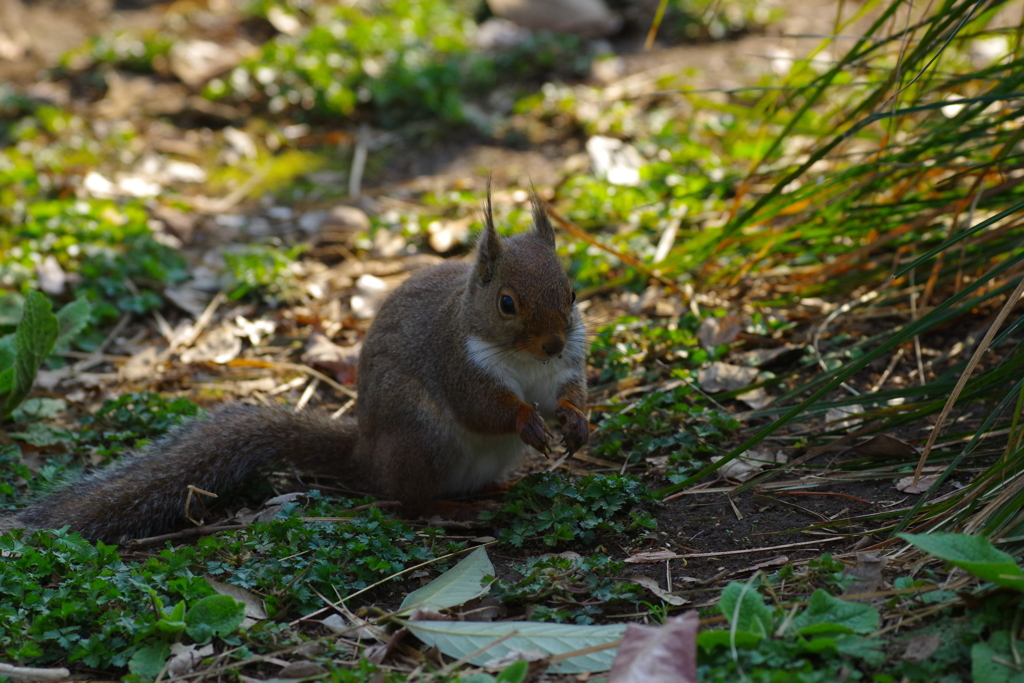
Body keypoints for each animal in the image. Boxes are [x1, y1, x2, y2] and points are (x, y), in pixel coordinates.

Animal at [6, 189, 593, 540]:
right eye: (507, 304)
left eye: (571, 292)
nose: (553, 344)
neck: (522, 359)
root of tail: (366, 455)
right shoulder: (456, 361)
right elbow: (484, 407)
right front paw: (527, 420)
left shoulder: (565, 368)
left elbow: (569, 393)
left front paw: (576, 423)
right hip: (422, 437)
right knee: (408, 500)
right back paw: (456, 511)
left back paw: (496, 491)